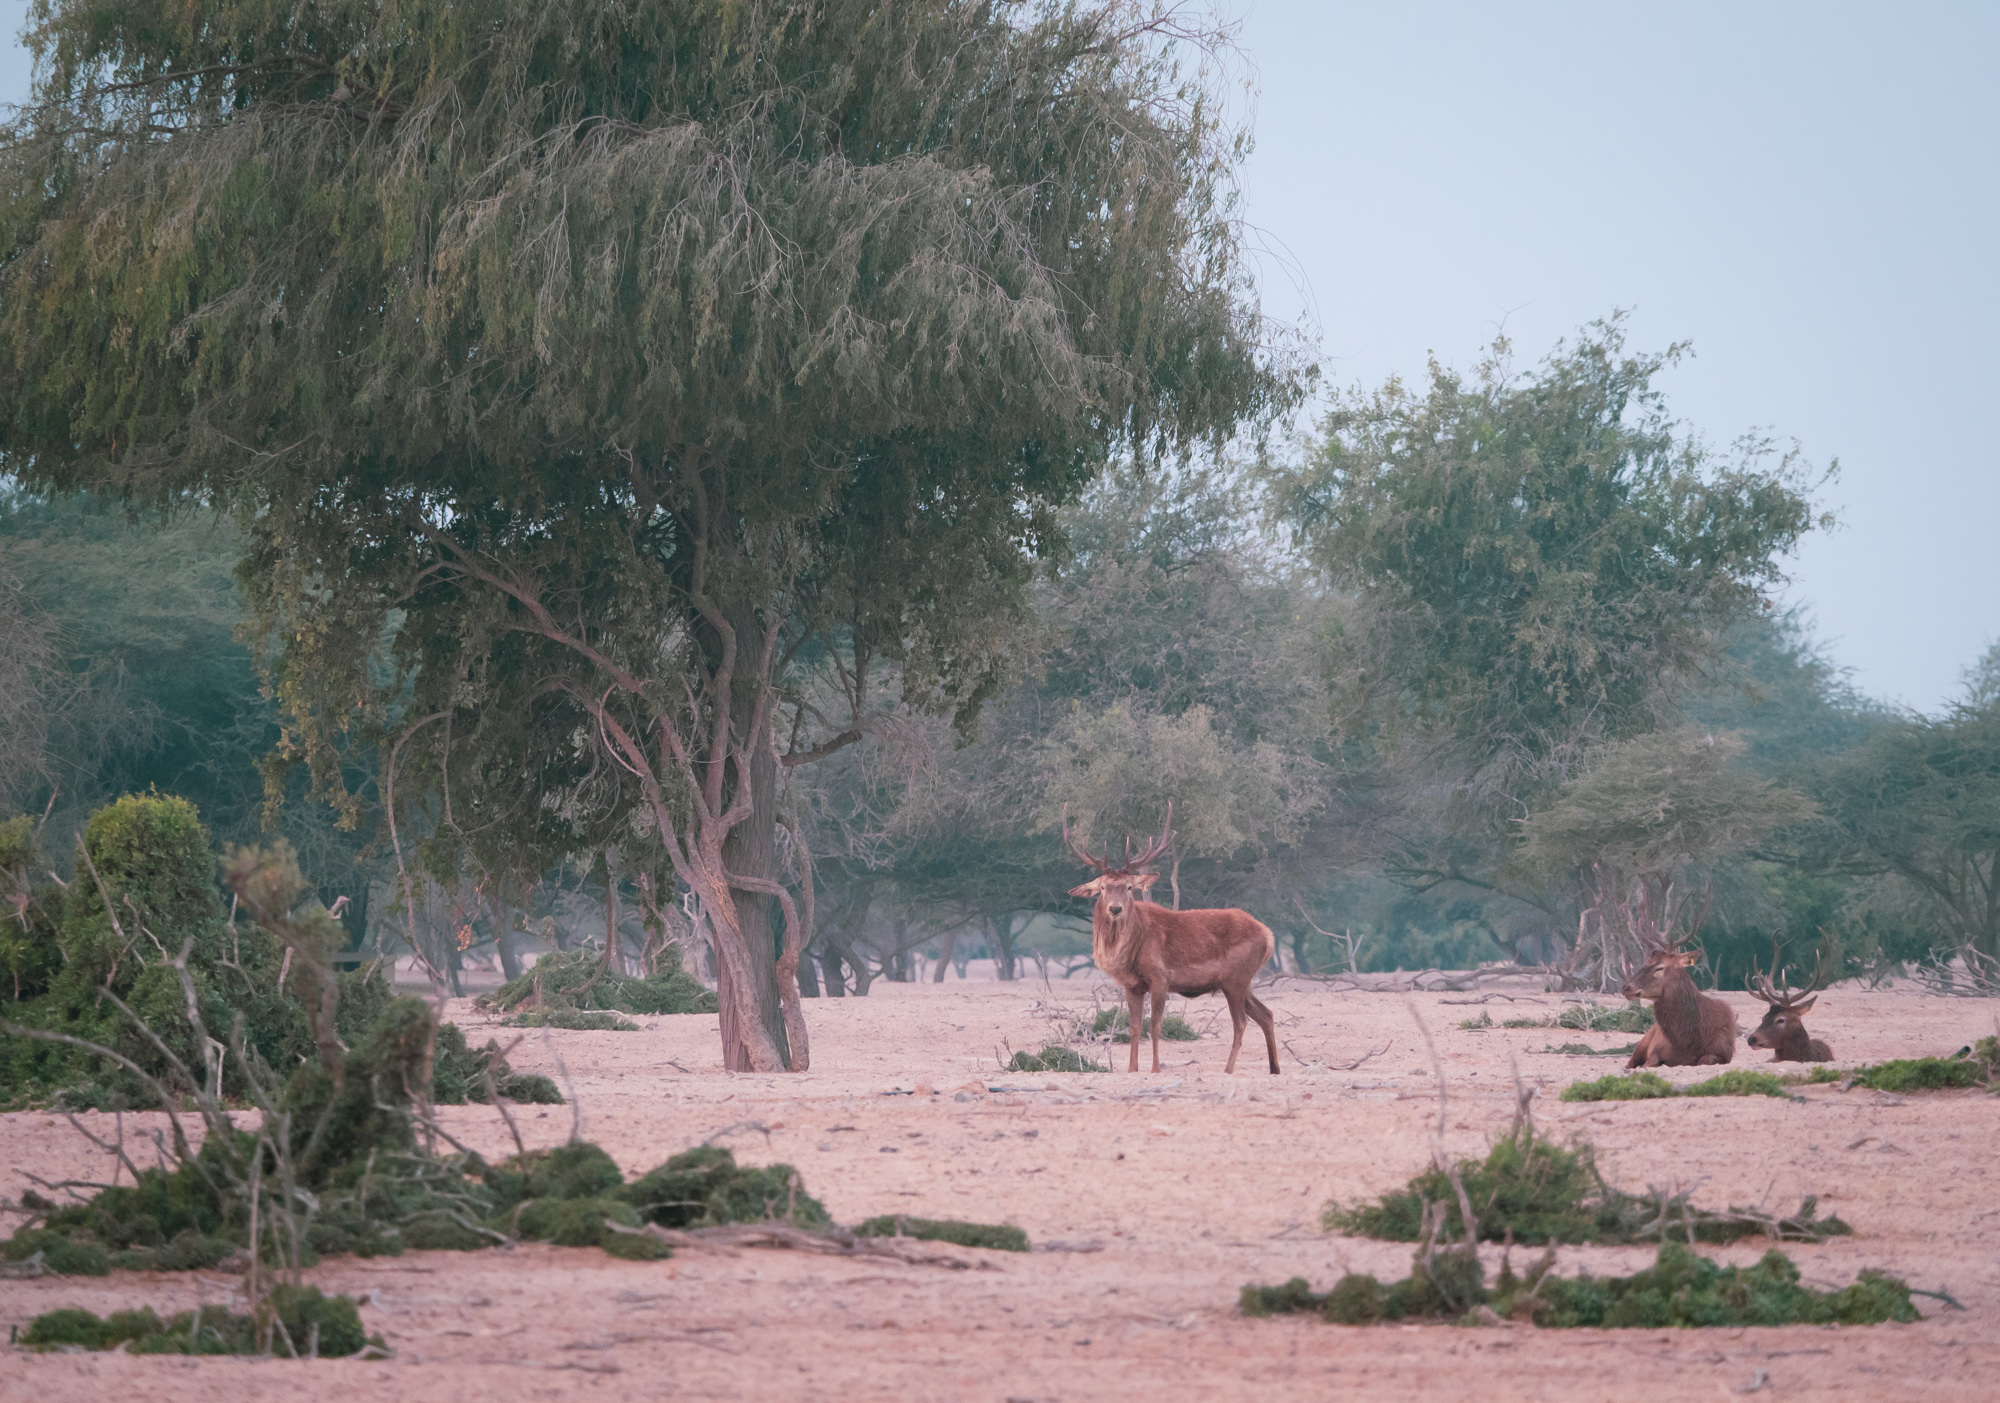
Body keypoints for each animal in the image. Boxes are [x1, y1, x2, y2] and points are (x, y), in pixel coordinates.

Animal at [1064, 803, 1280, 1079]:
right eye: (1102, 888)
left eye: (1129, 887)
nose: (1115, 909)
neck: (1129, 954)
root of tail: (1268, 935)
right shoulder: (1133, 986)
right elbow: (1134, 1027)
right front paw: (1132, 1069)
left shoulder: (1161, 977)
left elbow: (1155, 1025)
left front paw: (1156, 1068)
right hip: (1241, 981)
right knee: (1266, 1014)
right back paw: (1274, 1069)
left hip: (1236, 978)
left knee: (1241, 1022)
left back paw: (1228, 1069)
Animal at [1608, 939, 1736, 1071]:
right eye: (1645, 963)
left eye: (1659, 968)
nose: (1626, 988)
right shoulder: (1655, 1051)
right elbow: (1649, 1063)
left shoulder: (1724, 1052)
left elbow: (1705, 1059)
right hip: (1641, 1045)